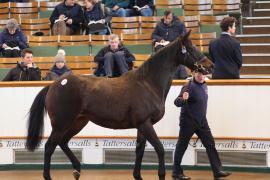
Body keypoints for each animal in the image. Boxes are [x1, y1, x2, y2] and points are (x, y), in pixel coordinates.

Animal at [26, 31, 214, 180]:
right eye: (191, 48)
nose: (210, 65)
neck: (148, 83)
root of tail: (55, 84)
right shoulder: (145, 124)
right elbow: (159, 149)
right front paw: (161, 175)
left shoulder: (142, 126)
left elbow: (139, 150)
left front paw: (137, 175)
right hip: (61, 123)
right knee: (50, 146)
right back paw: (50, 175)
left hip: (78, 122)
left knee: (63, 142)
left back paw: (77, 170)